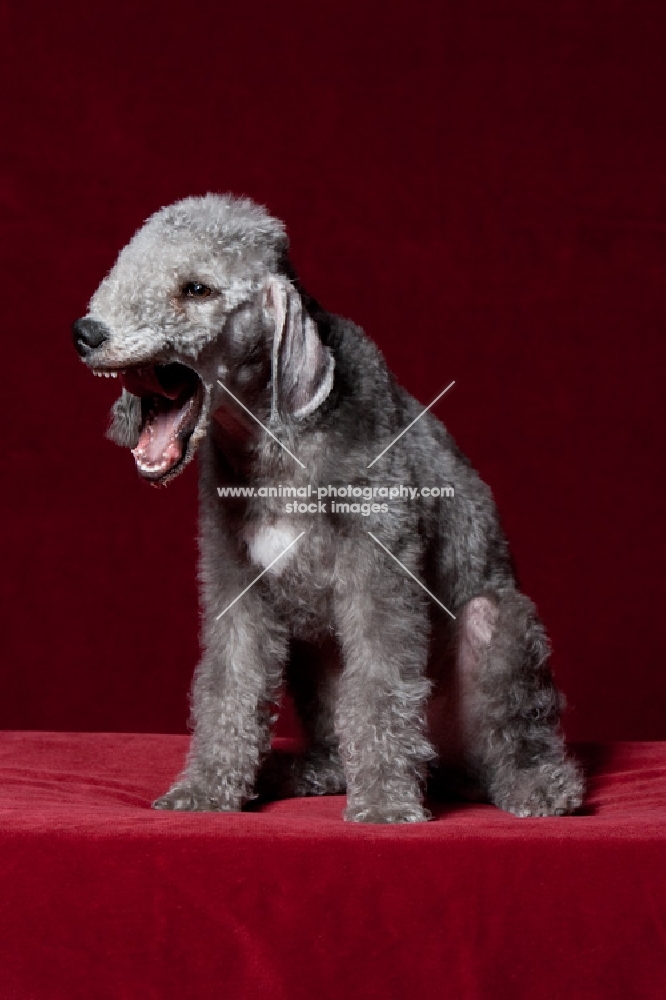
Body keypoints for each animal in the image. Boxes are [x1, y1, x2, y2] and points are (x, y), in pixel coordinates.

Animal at [71, 193, 580, 820]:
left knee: (514, 740)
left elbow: (380, 685)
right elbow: (228, 686)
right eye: (124, 269)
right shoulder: (235, 584)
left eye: (197, 289)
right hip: (313, 655)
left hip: (499, 630)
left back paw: (538, 788)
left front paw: (385, 803)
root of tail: (443, 767)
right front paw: (204, 790)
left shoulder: (380, 573)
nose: (88, 332)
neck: (274, 446)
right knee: (341, 745)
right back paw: (298, 771)